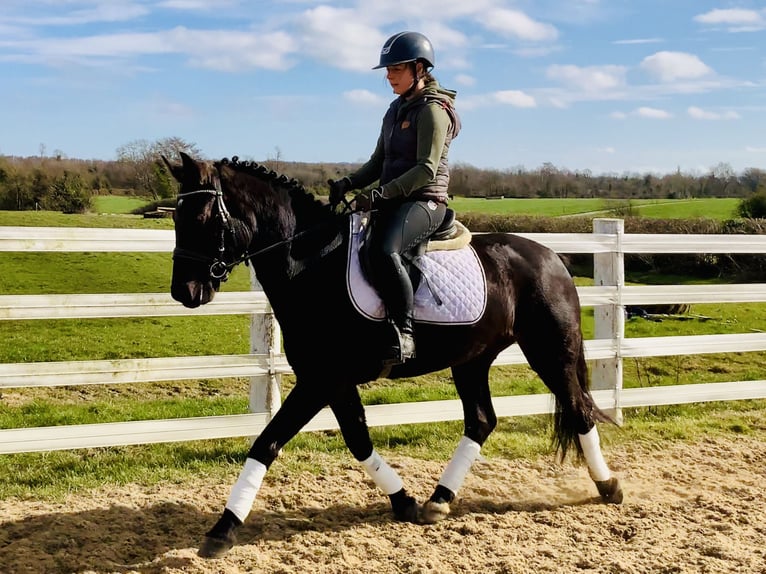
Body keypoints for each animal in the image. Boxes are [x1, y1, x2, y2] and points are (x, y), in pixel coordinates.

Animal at [164, 154, 624, 564]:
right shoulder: (332, 381)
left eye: (203, 219)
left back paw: (609, 488)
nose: (184, 292)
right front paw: (404, 502)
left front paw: (221, 530)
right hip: (472, 360)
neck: (312, 265)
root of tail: (551, 258)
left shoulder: (319, 380)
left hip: (551, 353)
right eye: (175, 218)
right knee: (481, 421)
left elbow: (267, 442)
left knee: (579, 411)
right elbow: (358, 440)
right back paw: (439, 500)